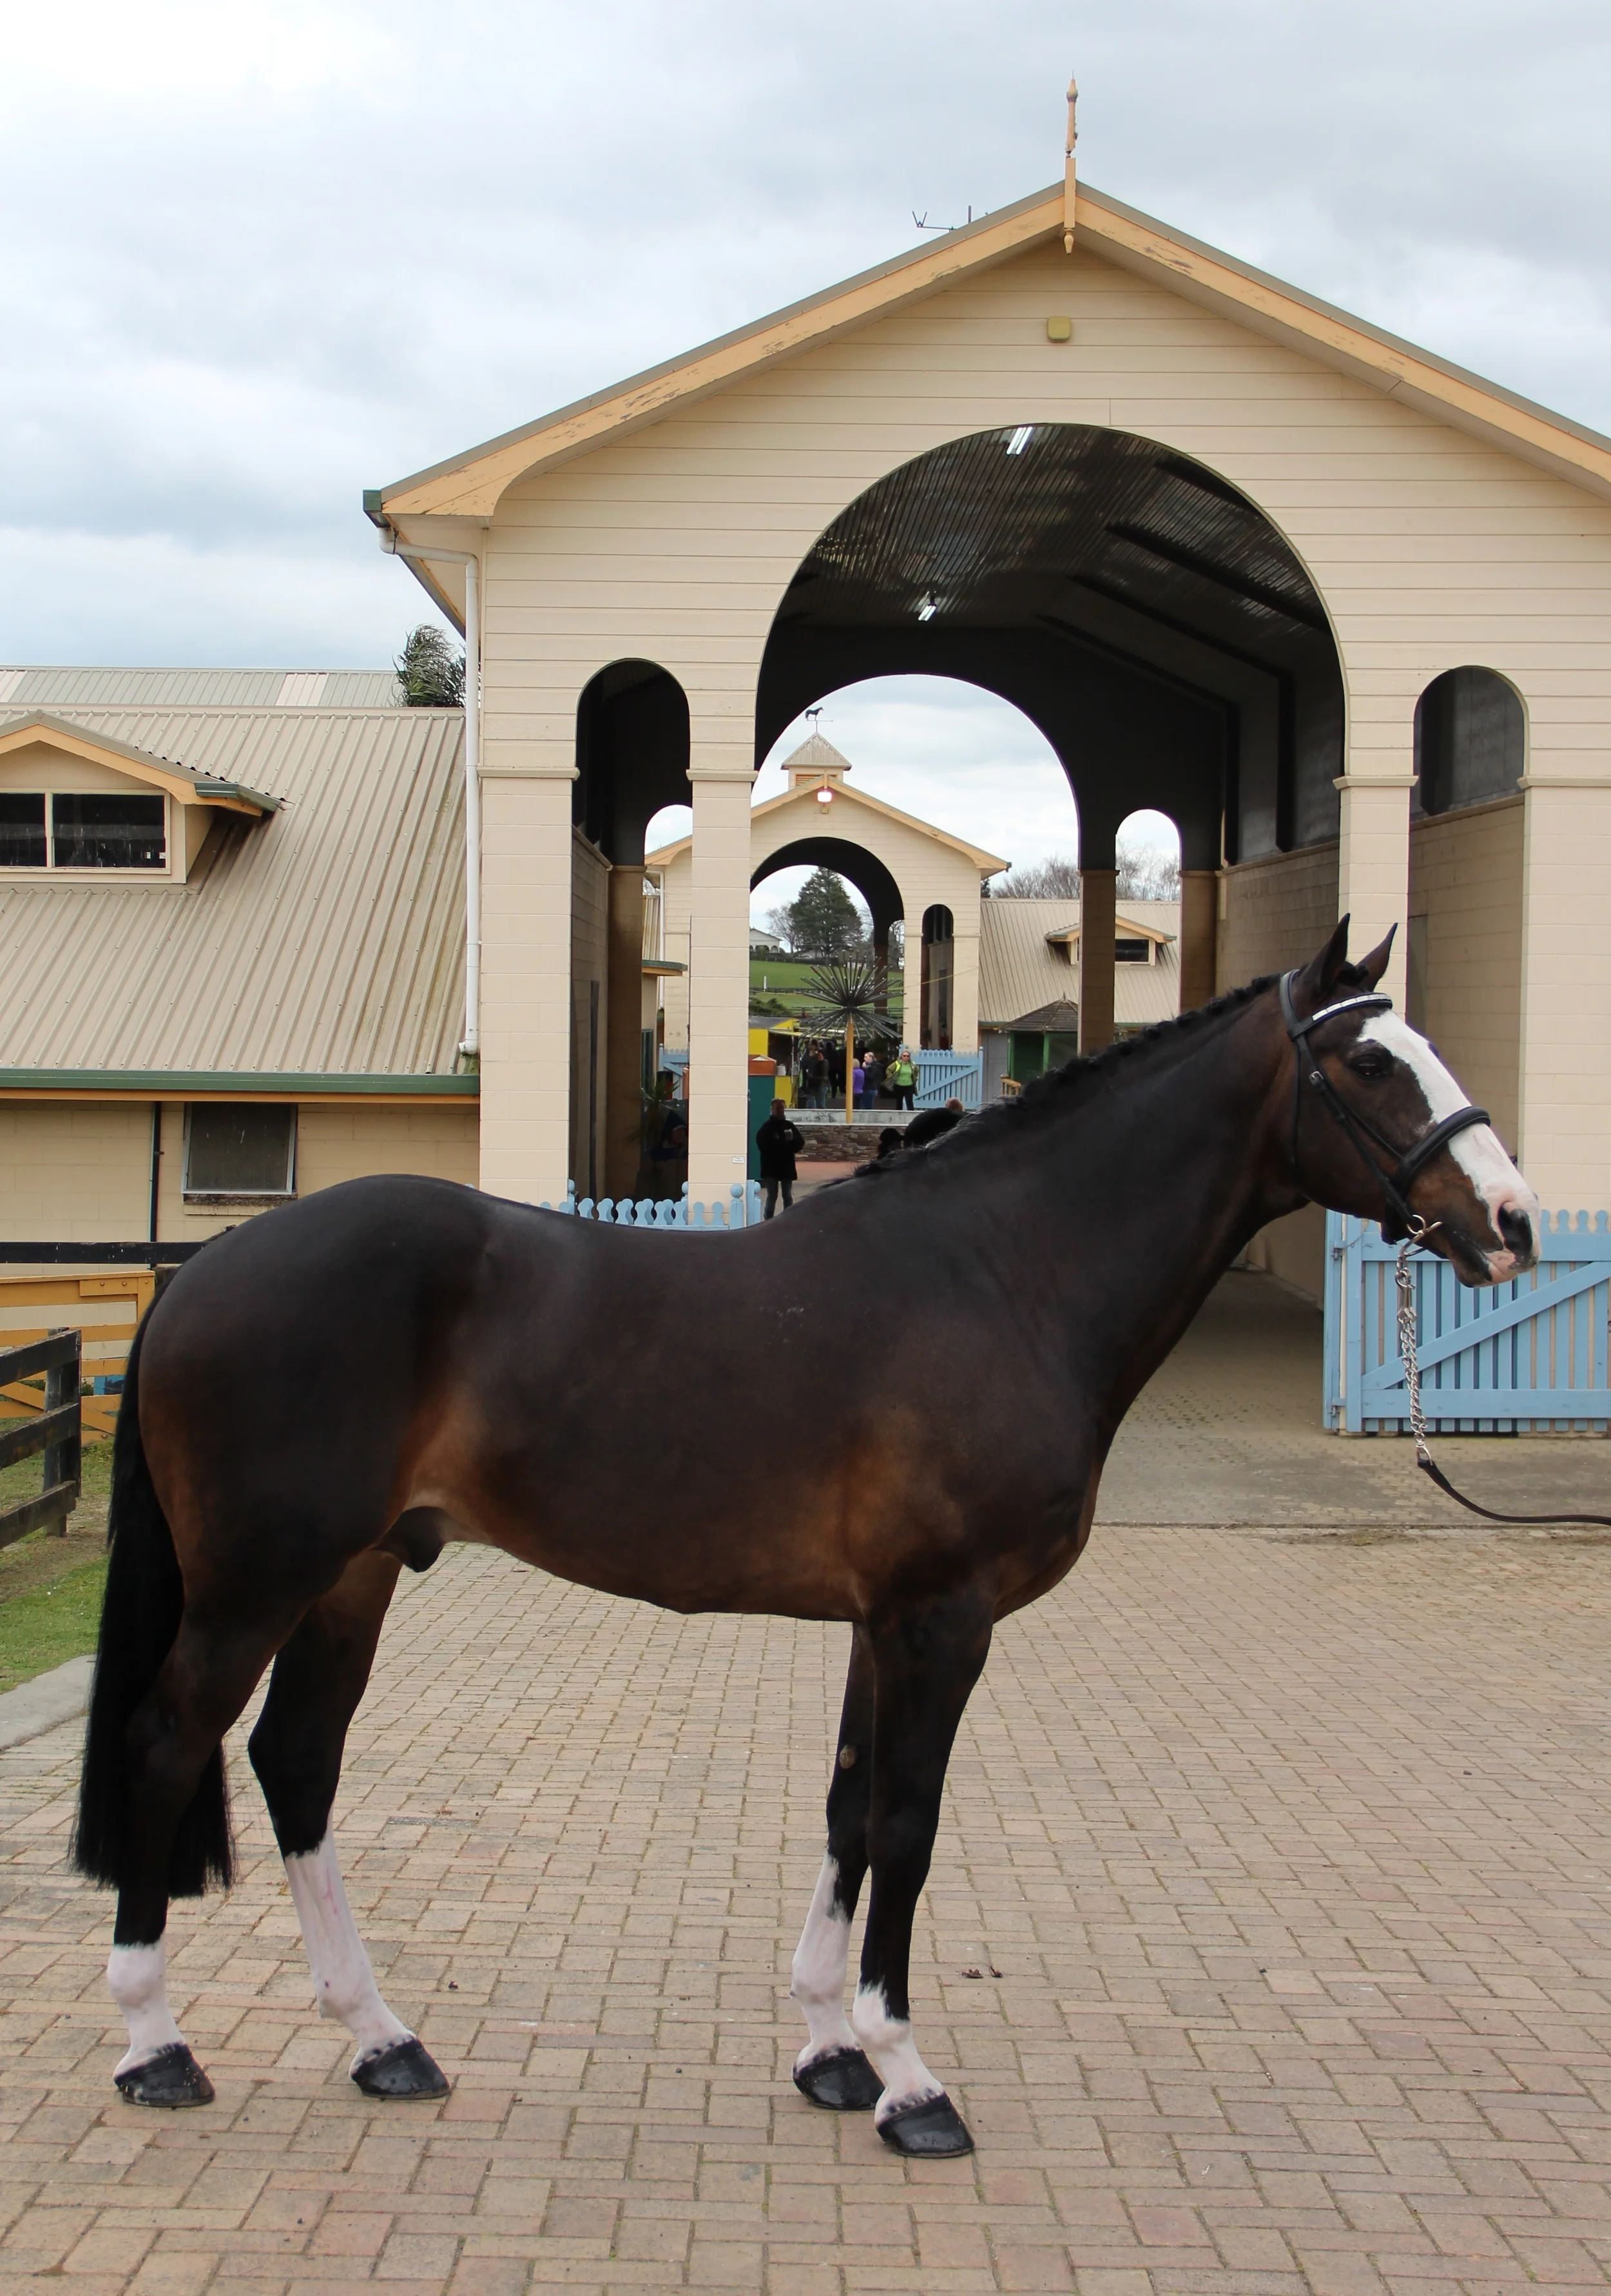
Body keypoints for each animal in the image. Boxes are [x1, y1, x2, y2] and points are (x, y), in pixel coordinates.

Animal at [72, 920, 1539, 2155]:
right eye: (1368, 1059)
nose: (1512, 1223)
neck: (1003, 1273)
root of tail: (200, 1273)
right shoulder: (939, 1619)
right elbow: (908, 1818)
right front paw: (906, 2076)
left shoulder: (878, 1624)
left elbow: (846, 1806)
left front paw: (829, 2048)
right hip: (255, 1586)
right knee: (168, 1740)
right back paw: (155, 2044)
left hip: (353, 1575)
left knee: (295, 1760)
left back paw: (382, 2038)